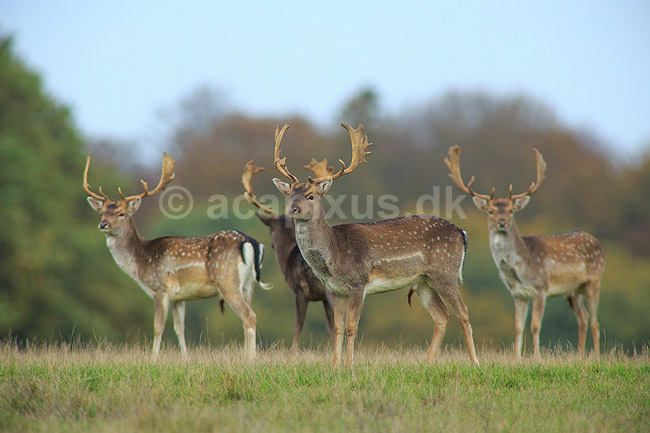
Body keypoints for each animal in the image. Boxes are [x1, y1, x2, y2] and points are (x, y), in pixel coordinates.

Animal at [83, 152, 271, 359]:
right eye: (102, 212)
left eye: (121, 213)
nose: (103, 225)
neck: (139, 261)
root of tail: (250, 242)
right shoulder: (179, 297)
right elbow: (179, 328)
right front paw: (185, 358)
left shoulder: (160, 288)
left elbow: (158, 326)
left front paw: (153, 359)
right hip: (248, 285)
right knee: (248, 316)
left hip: (227, 281)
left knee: (249, 315)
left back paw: (251, 359)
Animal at [271, 123, 480, 368]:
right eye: (290, 194)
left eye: (311, 195)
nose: (293, 209)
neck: (333, 253)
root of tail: (461, 233)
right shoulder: (334, 289)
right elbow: (338, 328)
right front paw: (334, 366)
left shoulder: (358, 282)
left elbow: (351, 327)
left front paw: (349, 366)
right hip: (423, 281)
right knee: (442, 316)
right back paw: (427, 364)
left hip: (445, 271)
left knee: (463, 312)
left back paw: (475, 362)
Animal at [445, 145, 606, 359]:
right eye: (491, 211)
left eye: (511, 210)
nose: (502, 222)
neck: (520, 267)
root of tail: (600, 244)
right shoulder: (517, 293)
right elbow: (518, 326)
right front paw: (516, 358)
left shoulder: (540, 288)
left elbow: (535, 325)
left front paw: (537, 357)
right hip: (572, 291)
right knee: (584, 318)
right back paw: (580, 356)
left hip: (594, 281)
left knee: (595, 321)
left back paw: (596, 356)